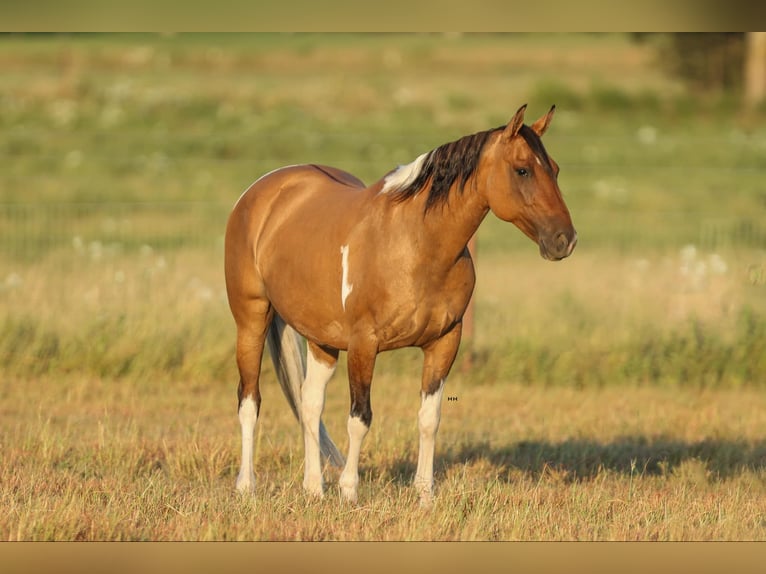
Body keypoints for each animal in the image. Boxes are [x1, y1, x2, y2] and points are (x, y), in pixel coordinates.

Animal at [224, 104, 577, 505]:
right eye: (522, 170)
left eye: (555, 169)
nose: (565, 240)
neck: (415, 243)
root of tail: (264, 189)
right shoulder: (364, 344)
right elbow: (360, 418)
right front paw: (350, 491)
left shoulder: (444, 343)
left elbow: (429, 418)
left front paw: (425, 494)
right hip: (251, 321)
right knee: (249, 401)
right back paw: (246, 486)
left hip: (321, 339)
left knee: (309, 402)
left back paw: (314, 488)